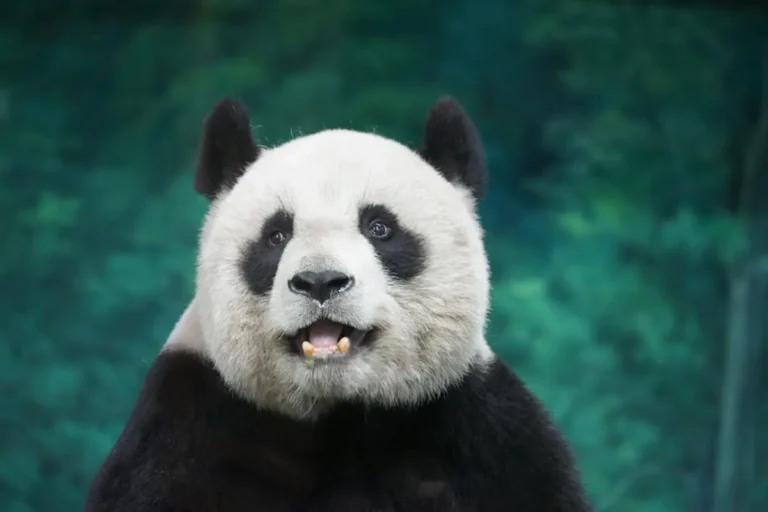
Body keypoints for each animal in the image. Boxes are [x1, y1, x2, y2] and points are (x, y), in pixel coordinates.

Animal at [85, 96, 593, 511]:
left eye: (379, 228)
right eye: (276, 235)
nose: (320, 281)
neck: (339, 410)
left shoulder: (477, 435)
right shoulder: (190, 426)